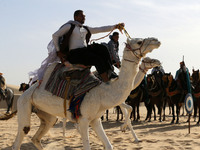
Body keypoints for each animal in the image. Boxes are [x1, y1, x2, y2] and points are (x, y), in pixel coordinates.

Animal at [12, 37, 160, 149]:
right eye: (139, 42)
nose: (156, 41)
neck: (102, 91)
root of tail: (27, 90)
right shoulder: (84, 118)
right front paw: (127, 131)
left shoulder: (95, 119)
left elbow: (109, 145)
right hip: (24, 104)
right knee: (20, 136)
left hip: (46, 114)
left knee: (39, 135)